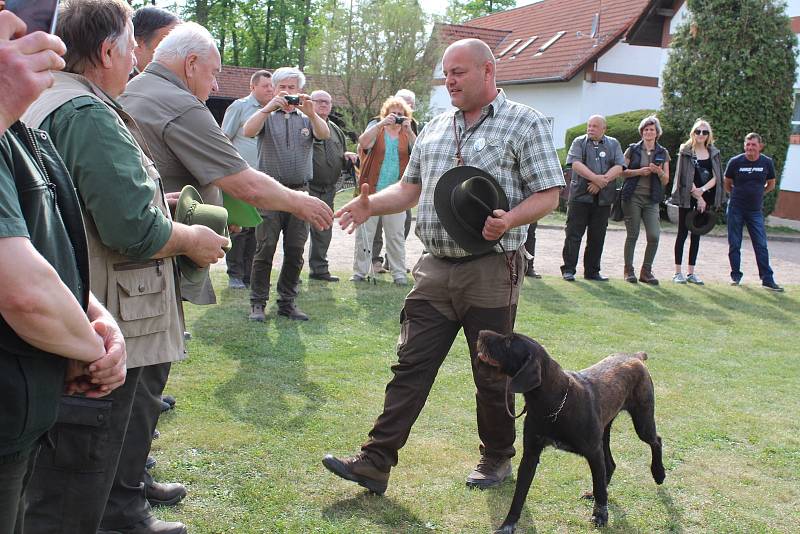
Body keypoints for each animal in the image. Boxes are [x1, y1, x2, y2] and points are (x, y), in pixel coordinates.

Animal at [478, 330, 664, 532]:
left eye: (509, 342)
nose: (480, 333)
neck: (554, 403)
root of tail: (635, 357)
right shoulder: (530, 454)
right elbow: (519, 496)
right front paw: (508, 524)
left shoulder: (593, 452)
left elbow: (600, 487)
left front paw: (600, 516)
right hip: (605, 431)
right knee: (610, 465)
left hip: (642, 422)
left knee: (656, 440)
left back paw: (659, 473)